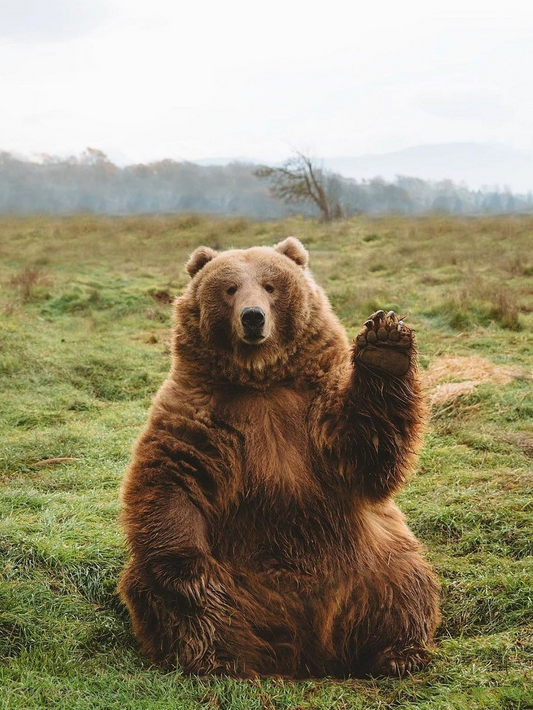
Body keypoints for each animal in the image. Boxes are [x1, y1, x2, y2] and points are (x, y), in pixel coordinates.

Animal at [118, 236, 440, 678]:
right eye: (230, 288)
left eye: (270, 286)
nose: (253, 318)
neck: (262, 380)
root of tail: (306, 648)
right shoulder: (199, 413)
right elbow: (170, 478)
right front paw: (189, 573)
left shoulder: (315, 412)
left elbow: (367, 449)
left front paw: (385, 345)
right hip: (239, 579)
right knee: (176, 605)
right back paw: (219, 658)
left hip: (370, 562)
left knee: (404, 584)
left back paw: (397, 653)